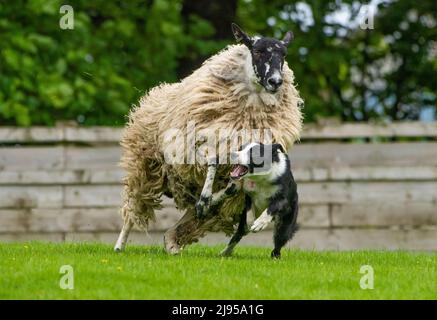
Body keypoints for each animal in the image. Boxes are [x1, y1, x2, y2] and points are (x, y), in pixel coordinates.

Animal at [114, 23, 302, 254]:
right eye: (257, 51)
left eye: (283, 54)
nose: (275, 81)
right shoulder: (194, 146)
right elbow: (213, 162)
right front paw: (206, 198)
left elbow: (231, 188)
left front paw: (208, 201)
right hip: (146, 166)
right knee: (133, 208)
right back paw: (120, 245)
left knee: (179, 225)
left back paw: (173, 243)